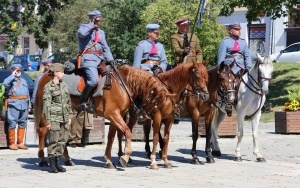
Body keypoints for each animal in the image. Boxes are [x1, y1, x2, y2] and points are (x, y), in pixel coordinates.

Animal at [33, 65, 173, 169]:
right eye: (156, 102)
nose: (145, 116)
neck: (123, 84)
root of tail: (45, 75)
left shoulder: (115, 116)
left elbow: (111, 137)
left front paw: (109, 160)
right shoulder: (114, 114)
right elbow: (127, 132)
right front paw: (125, 157)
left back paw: (68, 159)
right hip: (48, 113)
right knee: (43, 131)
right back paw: (42, 159)